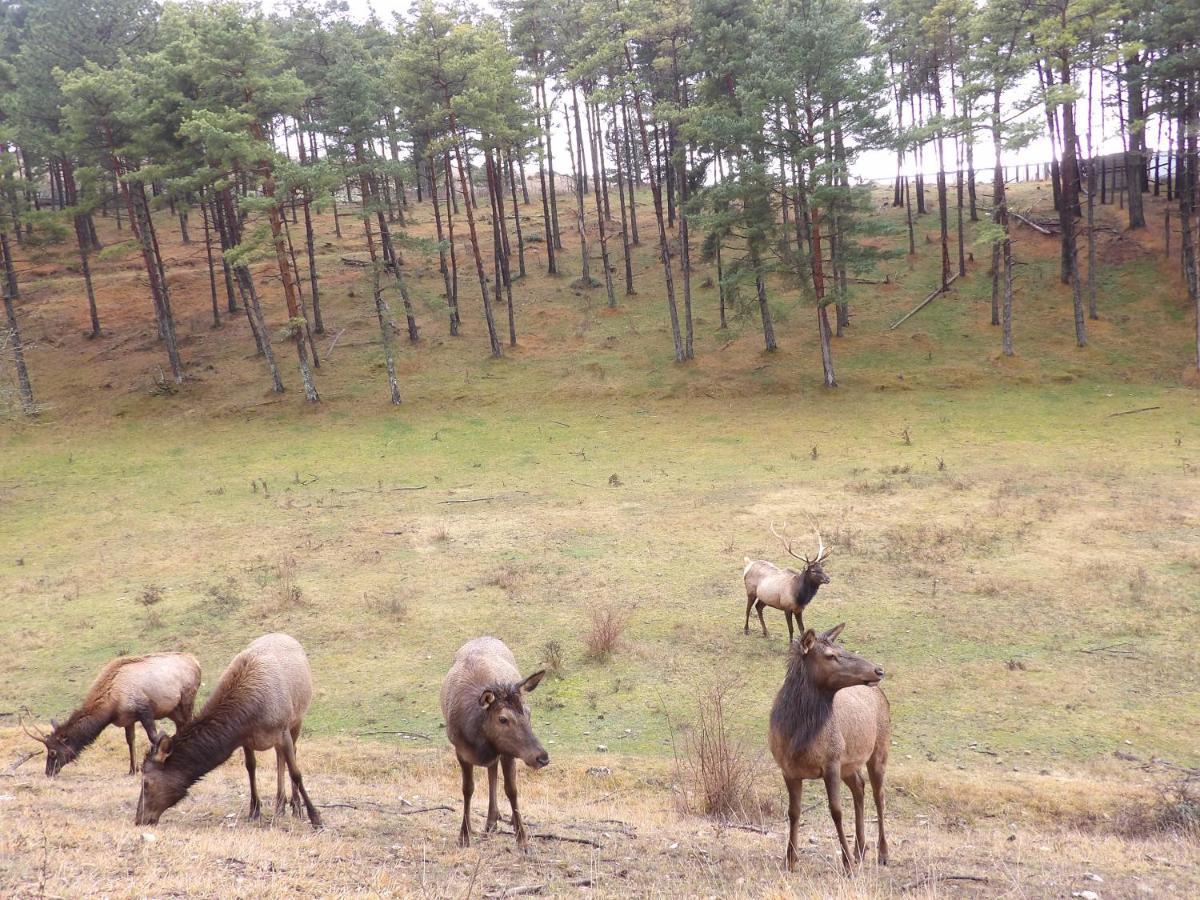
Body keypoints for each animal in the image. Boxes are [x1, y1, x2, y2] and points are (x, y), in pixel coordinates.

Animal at [19, 652, 199, 777]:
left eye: (53, 752)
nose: (48, 772)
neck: (112, 706)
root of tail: (196, 662)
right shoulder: (128, 719)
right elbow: (130, 741)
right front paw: (132, 770)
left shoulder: (144, 709)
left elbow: (154, 737)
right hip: (173, 711)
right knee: (182, 726)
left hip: (187, 700)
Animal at [135, 633, 321, 830]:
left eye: (146, 783)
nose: (139, 820)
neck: (251, 715)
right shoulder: (247, 740)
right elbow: (251, 768)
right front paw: (254, 810)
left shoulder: (283, 731)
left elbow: (296, 772)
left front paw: (315, 816)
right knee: (280, 758)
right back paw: (280, 805)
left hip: (297, 720)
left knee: (291, 754)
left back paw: (295, 806)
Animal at [444, 633, 549, 854]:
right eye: (503, 719)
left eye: (528, 712)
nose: (542, 757)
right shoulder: (460, 750)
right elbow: (468, 789)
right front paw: (464, 836)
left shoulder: (508, 752)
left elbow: (512, 790)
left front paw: (523, 840)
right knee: (491, 772)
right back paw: (490, 822)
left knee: (493, 773)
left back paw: (499, 821)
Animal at [768, 628, 892, 873]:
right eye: (830, 655)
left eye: (842, 648)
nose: (878, 670)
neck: (798, 736)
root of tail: (882, 695)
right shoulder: (788, 769)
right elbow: (793, 812)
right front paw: (790, 860)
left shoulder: (831, 762)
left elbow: (836, 811)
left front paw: (847, 864)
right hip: (848, 764)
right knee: (859, 786)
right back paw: (860, 850)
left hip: (879, 750)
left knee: (879, 796)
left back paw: (882, 853)